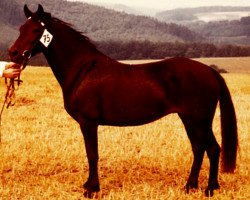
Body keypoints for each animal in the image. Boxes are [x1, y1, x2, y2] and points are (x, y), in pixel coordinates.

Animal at [8, 4, 237, 197]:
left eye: (36, 30)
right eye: (21, 28)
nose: (13, 53)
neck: (83, 70)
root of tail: (210, 71)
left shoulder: (88, 123)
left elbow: (92, 154)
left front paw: (91, 189)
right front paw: (89, 186)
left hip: (199, 120)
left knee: (211, 149)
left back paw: (209, 189)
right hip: (191, 120)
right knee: (199, 149)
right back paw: (191, 186)